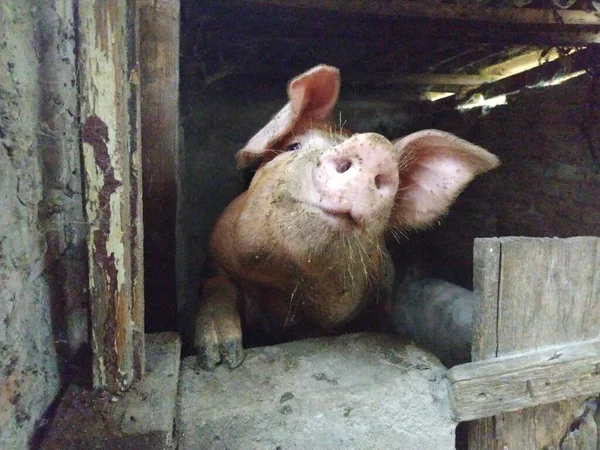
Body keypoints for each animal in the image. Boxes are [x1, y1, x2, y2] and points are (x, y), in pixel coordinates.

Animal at [195, 66, 500, 370]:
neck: (282, 291)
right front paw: (221, 357)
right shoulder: (218, 256)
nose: (375, 146)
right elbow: (217, 285)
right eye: (293, 147)